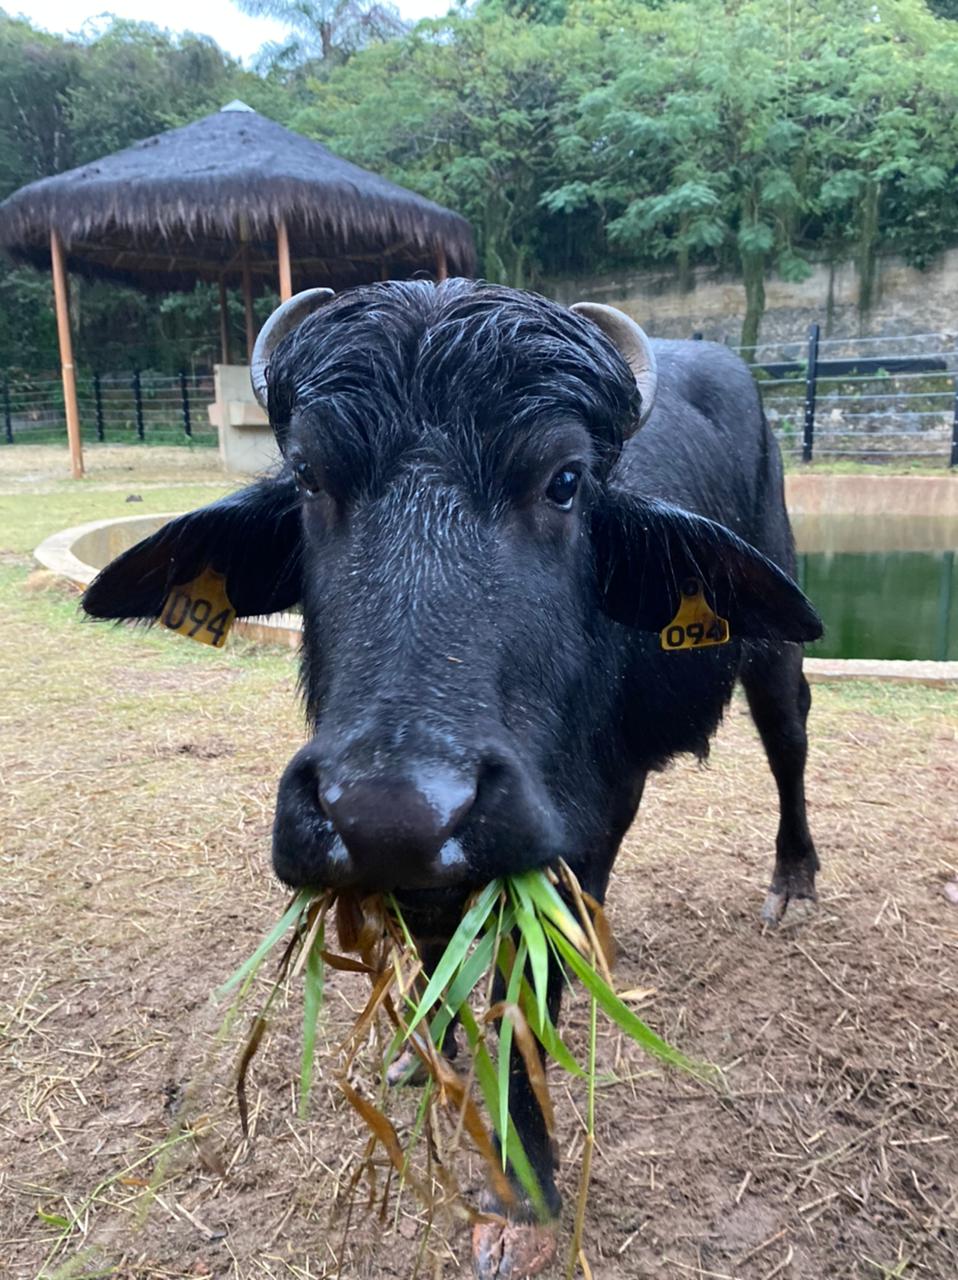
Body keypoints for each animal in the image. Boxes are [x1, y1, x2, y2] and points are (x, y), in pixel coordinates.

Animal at [83, 282, 824, 1280]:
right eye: (309, 476)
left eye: (564, 481)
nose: (390, 811)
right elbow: (439, 953)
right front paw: (421, 1052)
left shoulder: (581, 829)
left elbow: (526, 998)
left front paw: (524, 1195)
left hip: (773, 642)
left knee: (789, 739)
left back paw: (790, 882)